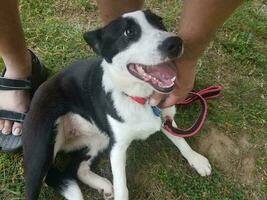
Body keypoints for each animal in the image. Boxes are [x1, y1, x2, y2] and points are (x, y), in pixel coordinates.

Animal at [22, 9, 211, 200]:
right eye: (129, 32)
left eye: (159, 22)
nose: (175, 43)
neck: (139, 98)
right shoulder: (117, 147)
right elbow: (121, 184)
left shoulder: (165, 119)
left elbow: (180, 139)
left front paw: (196, 159)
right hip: (40, 151)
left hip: (99, 139)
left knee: (78, 169)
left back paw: (103, 185)